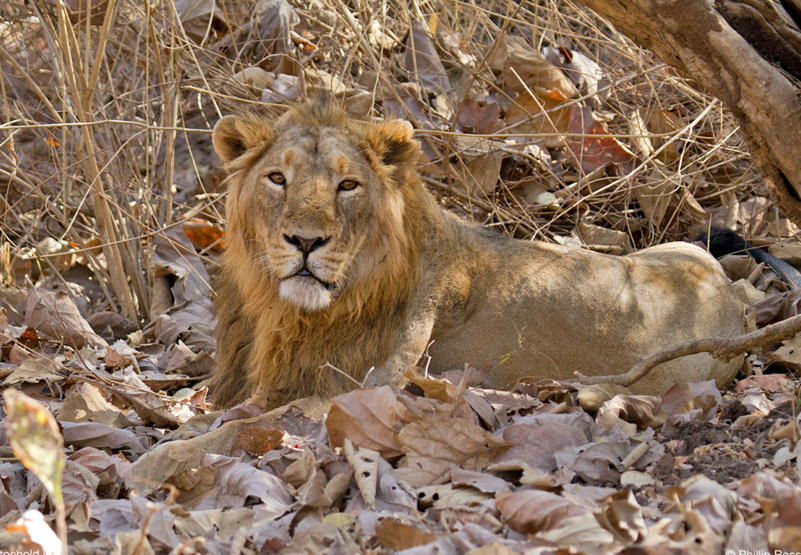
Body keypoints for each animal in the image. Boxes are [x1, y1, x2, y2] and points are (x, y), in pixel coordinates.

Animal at [209, 100, 748, 408]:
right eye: (277, 178)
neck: (282, 312)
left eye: (348, 185)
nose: (304, 241)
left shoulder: (342, 393)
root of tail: (734, 301)